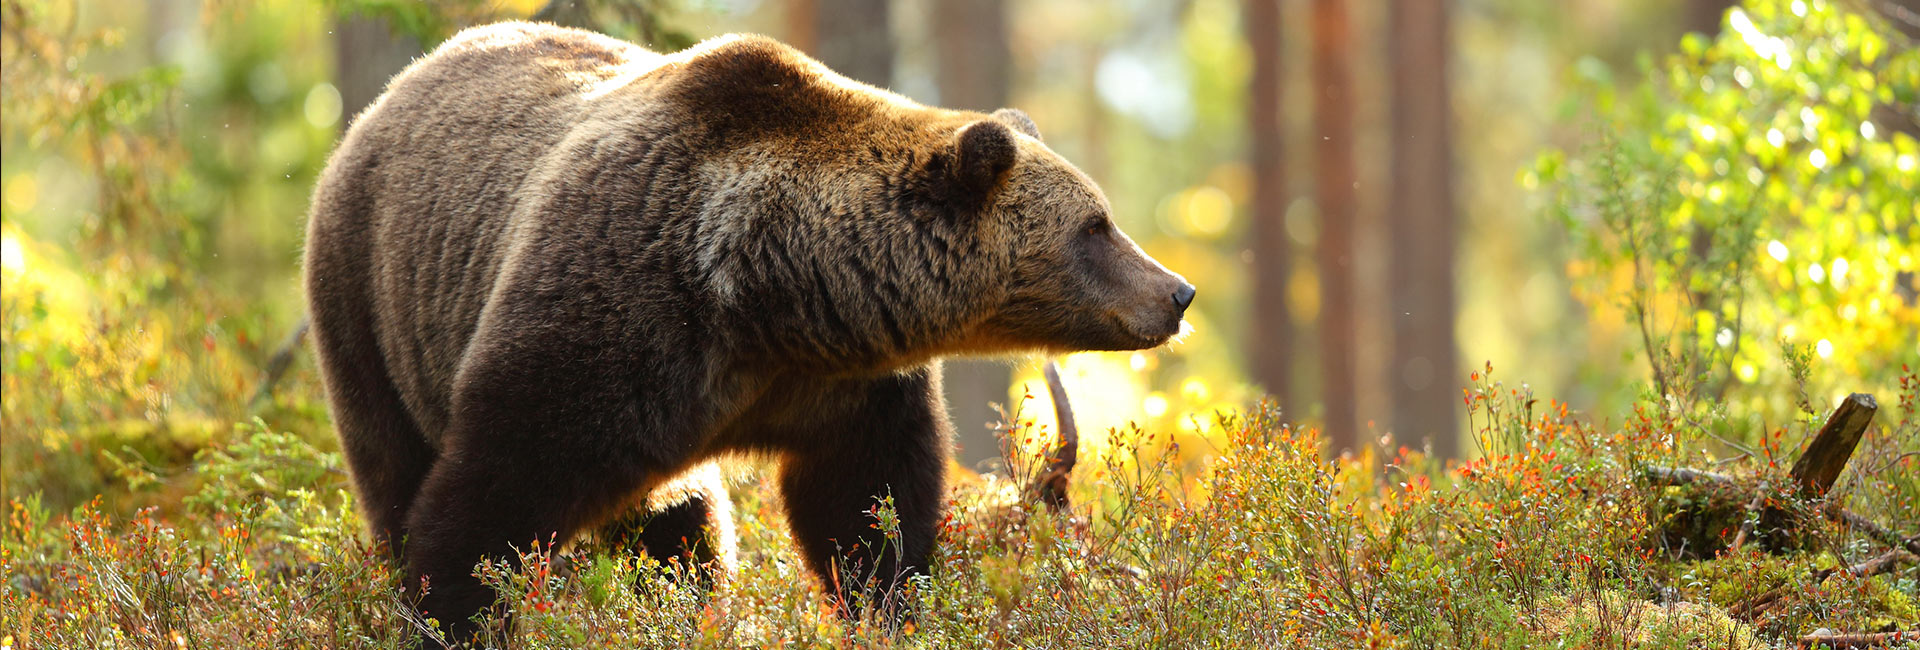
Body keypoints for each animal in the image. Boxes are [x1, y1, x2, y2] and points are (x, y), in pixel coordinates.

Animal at [303, 21, 1182, 648]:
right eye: (1096, 226)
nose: (1177, 292)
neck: (769, 293)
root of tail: (384, 99)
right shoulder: (610, 314)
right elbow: (493, 491)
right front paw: (452, 611)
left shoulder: (841, 386)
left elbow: (865, 505)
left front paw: (889, 603)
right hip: (370, 302)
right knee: (391, 461)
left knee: (678, 529)